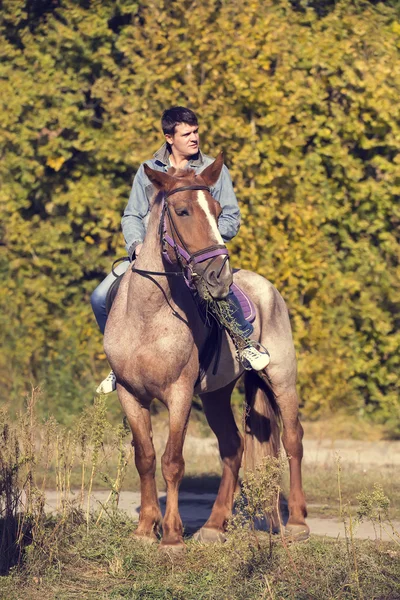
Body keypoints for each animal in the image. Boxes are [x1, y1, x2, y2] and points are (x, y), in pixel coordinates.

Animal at [104, 154, 310, 548]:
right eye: (182, 211)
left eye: (217, 211)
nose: (219, 278)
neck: (147, 317)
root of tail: (267, 287)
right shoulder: (130, 395)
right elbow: (145, 457)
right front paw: (145, 530)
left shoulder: (179, 394)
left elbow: (172, 461)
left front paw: (171, 536)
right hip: (216, 395)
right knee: (233, 448)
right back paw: (214, 527)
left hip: (282, 379)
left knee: (293, 439)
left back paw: (297, 522)